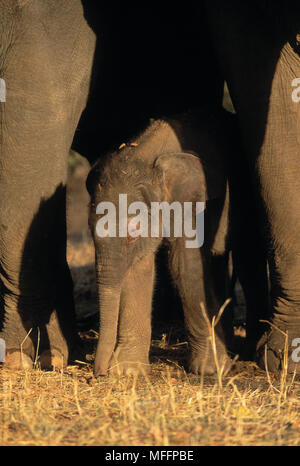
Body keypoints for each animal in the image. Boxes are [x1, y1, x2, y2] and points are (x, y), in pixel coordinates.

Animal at [86, 110, 237, 378]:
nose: (100, 372)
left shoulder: (189, 201)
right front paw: (128, 372)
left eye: (132, 233)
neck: (145, 154)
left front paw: (211, 370)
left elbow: (186, 263)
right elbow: (140, 268)